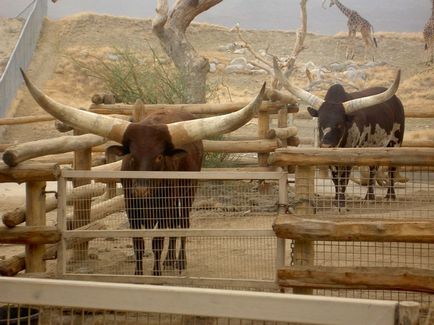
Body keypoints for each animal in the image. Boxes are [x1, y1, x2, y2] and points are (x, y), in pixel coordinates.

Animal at [22, 69, 266, 274]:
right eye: (131, 155)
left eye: (158, 156)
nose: (141, 190)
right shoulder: (132, 208)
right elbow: (138, 243)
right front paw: (139, 274)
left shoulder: (163, 206)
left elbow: (157, 241)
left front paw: (156, 274)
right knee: (173, 224)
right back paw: (170, 261)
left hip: (188, 188)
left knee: (182, 222)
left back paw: (179, 262)